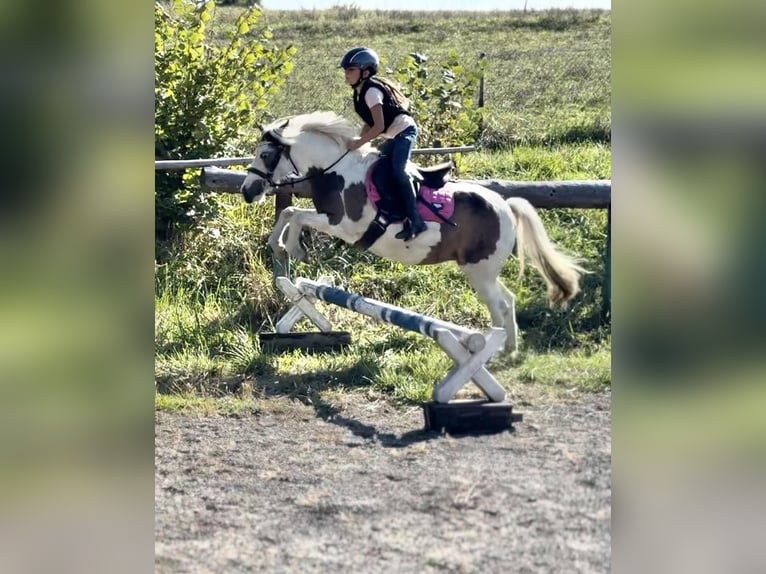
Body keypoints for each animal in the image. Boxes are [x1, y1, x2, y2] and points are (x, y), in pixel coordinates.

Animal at [243, 111, 584, 356]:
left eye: (266, 156)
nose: (248, 191)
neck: (336, 171)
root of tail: (505, 205)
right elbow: (289, 212)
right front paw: (280, 243)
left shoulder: (344, 225)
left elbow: (296, 213)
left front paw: (292, 248)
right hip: (481, 270)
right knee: (508, 300)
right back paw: (510, 350)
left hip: (480, 272)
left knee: (498, 308)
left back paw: (493, 352)